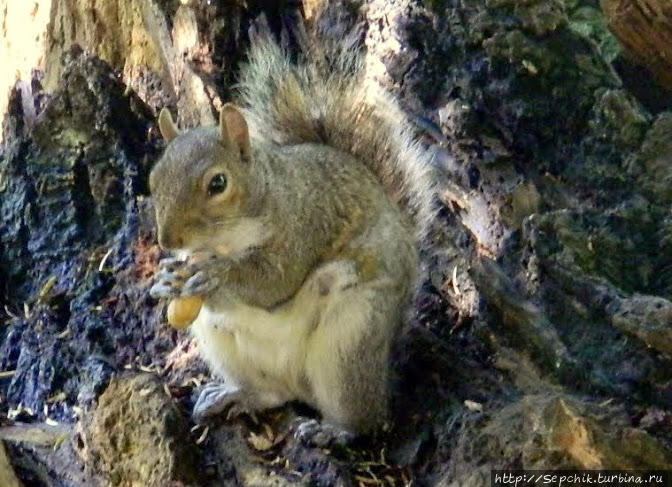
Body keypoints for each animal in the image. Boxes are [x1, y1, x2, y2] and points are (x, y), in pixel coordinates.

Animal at [148, 28, 436, 436]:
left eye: (218, 183)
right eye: (153, 179)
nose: (168, 241)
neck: (228, 240)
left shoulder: (304, 223)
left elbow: (274, 282)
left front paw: (219, 275)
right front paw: (165, 279)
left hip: (350, 340)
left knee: (364, 417)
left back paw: (335, 430)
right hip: (226, 344)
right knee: (272, 394)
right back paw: (233, 395)